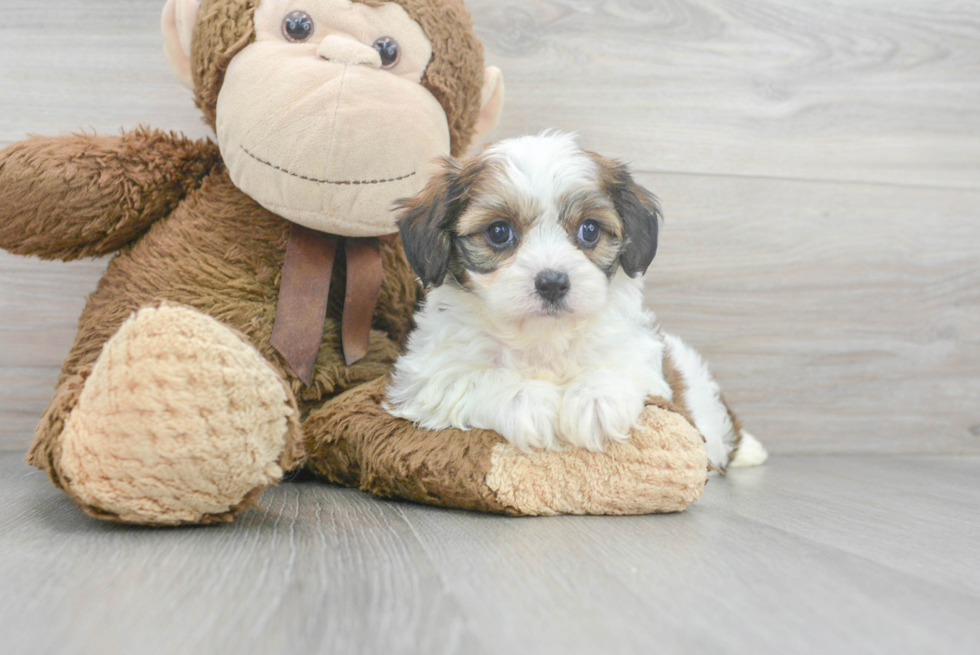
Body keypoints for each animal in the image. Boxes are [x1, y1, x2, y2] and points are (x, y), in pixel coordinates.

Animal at [386, 135, 768, 472]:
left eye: (589, 229)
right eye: (499, 232)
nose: (552, 282)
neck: (542, 336)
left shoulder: (640, 356)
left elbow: (621, 368)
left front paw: (596, 401)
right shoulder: (426, 375)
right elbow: (471, 377)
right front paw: (528, 400)